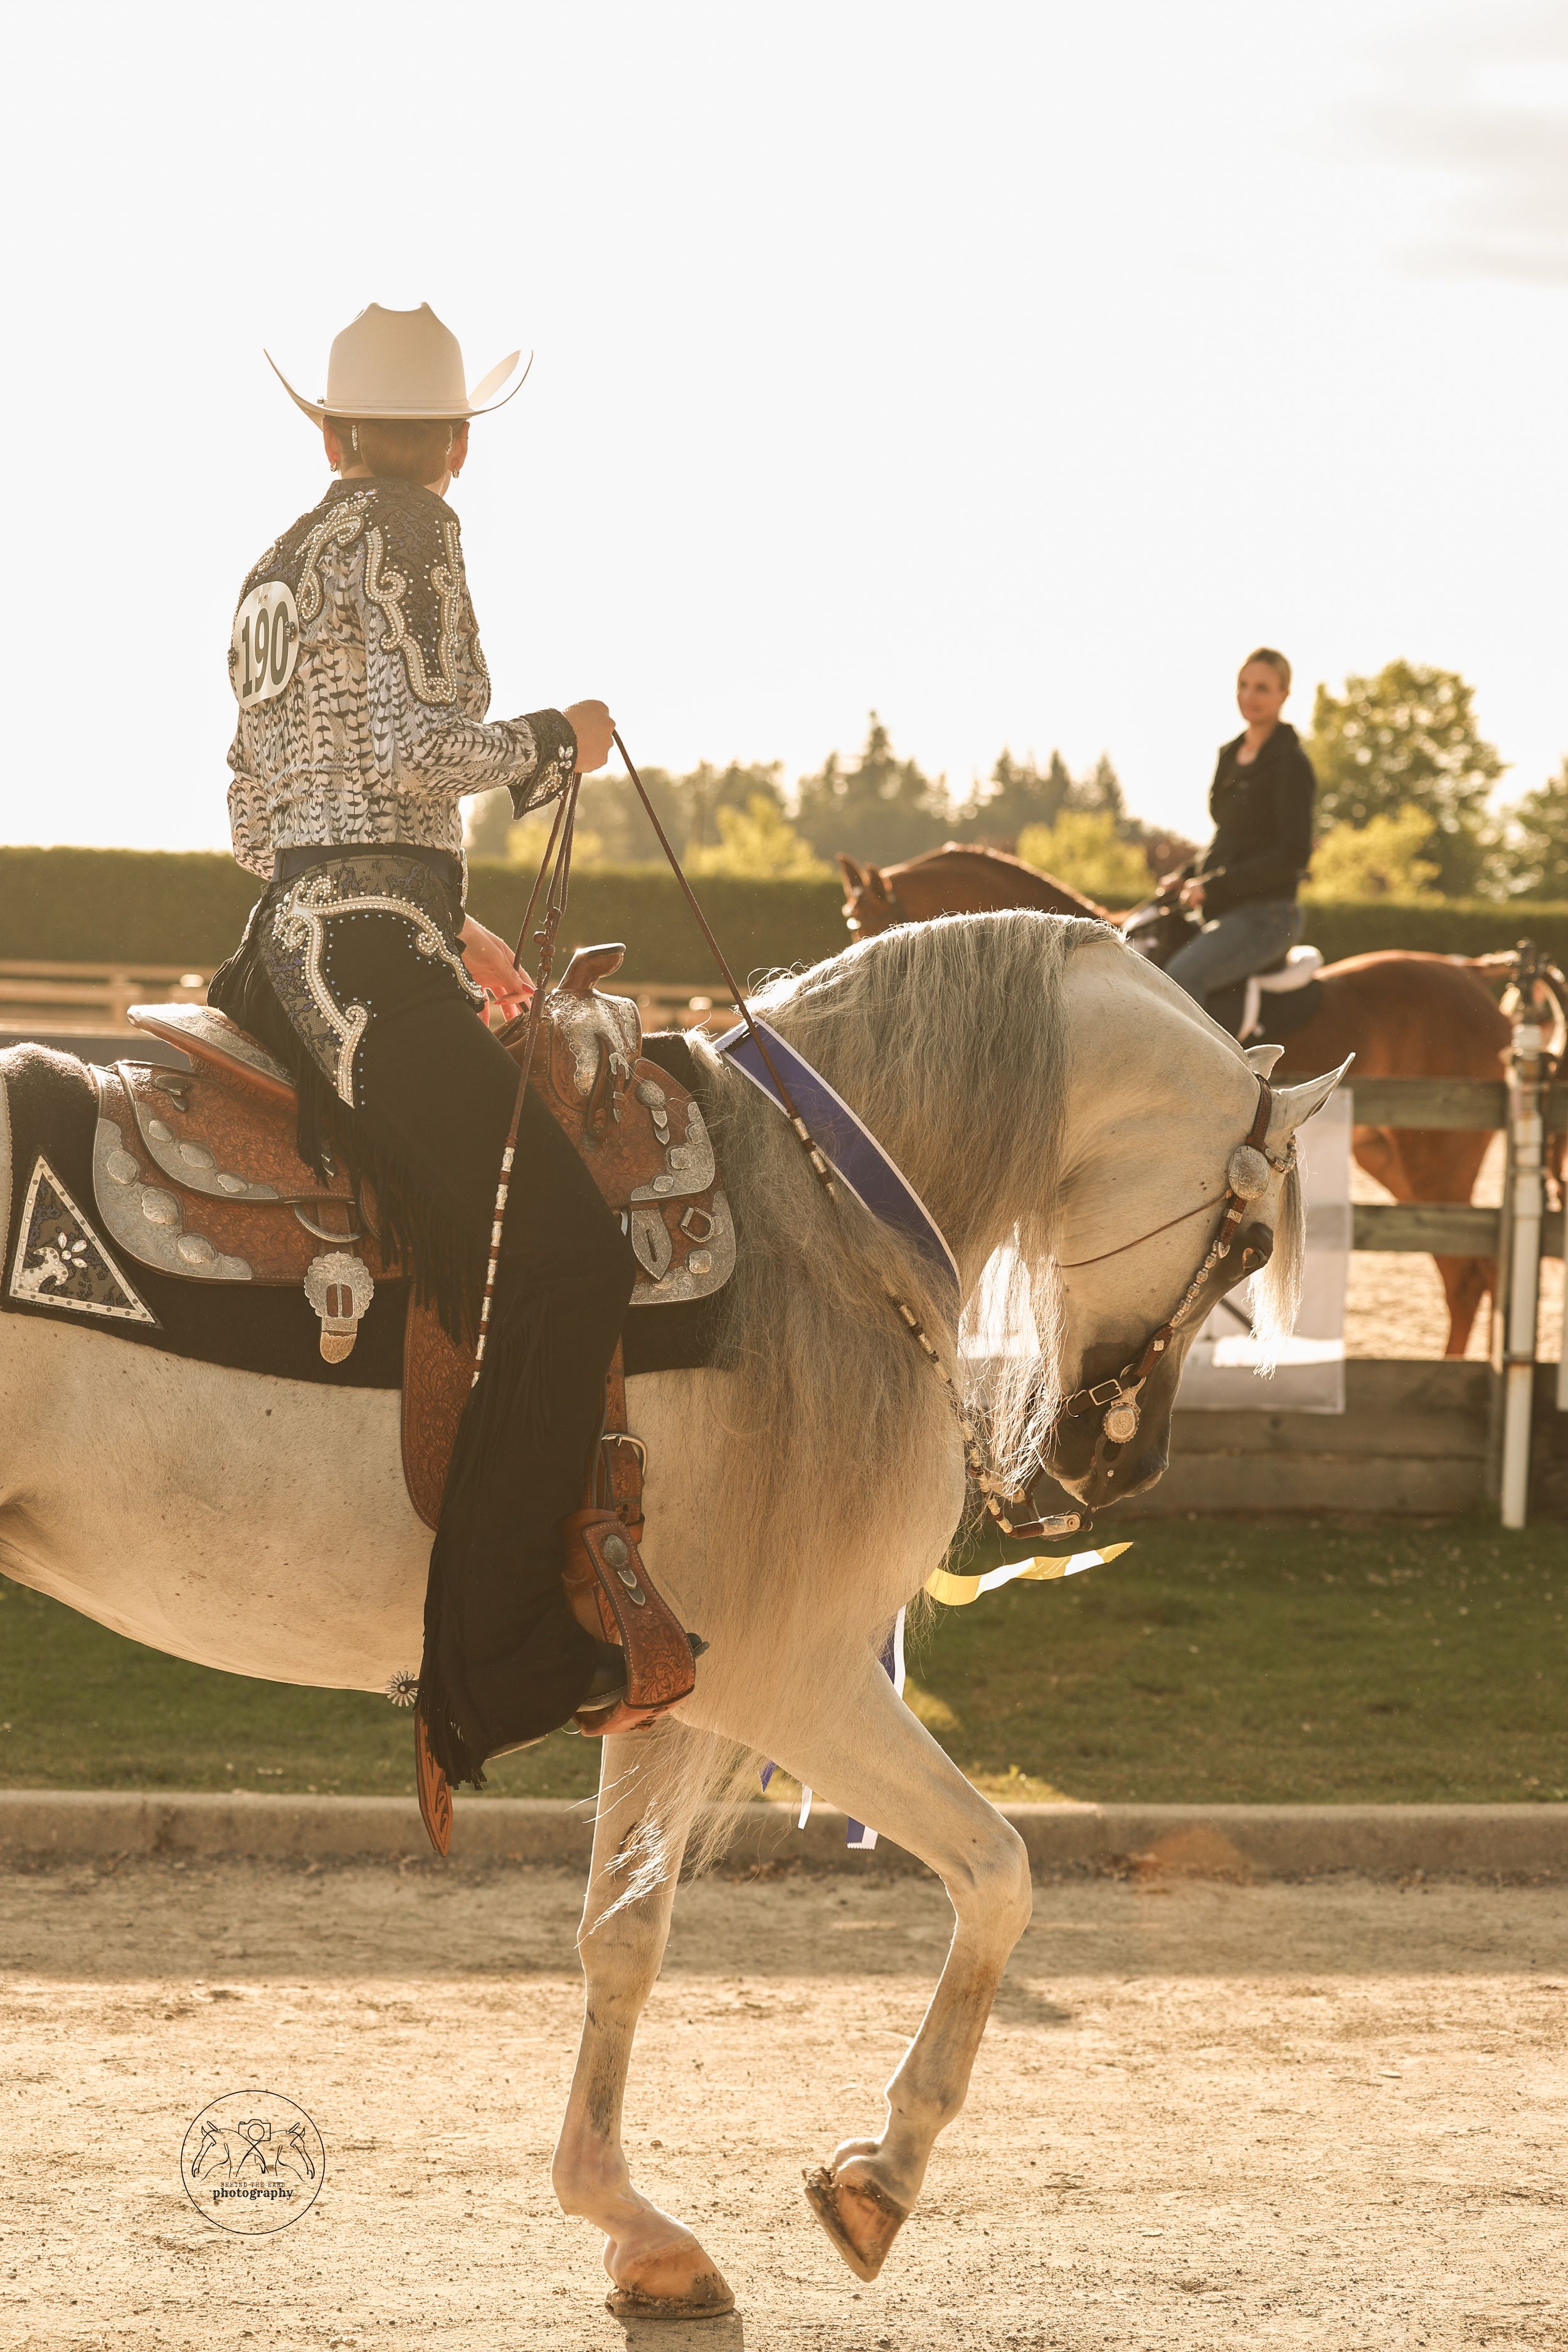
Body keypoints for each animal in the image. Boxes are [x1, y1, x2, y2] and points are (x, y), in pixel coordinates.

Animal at [0, 910, 1342, 2320]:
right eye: (1253, 1249)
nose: (1121, 1467)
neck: (821, 1216)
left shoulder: (664, 1682)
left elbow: (623, 1937)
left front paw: (631, 2224)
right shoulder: (791, 1675)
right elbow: (998, 1871)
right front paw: (883, 2173)